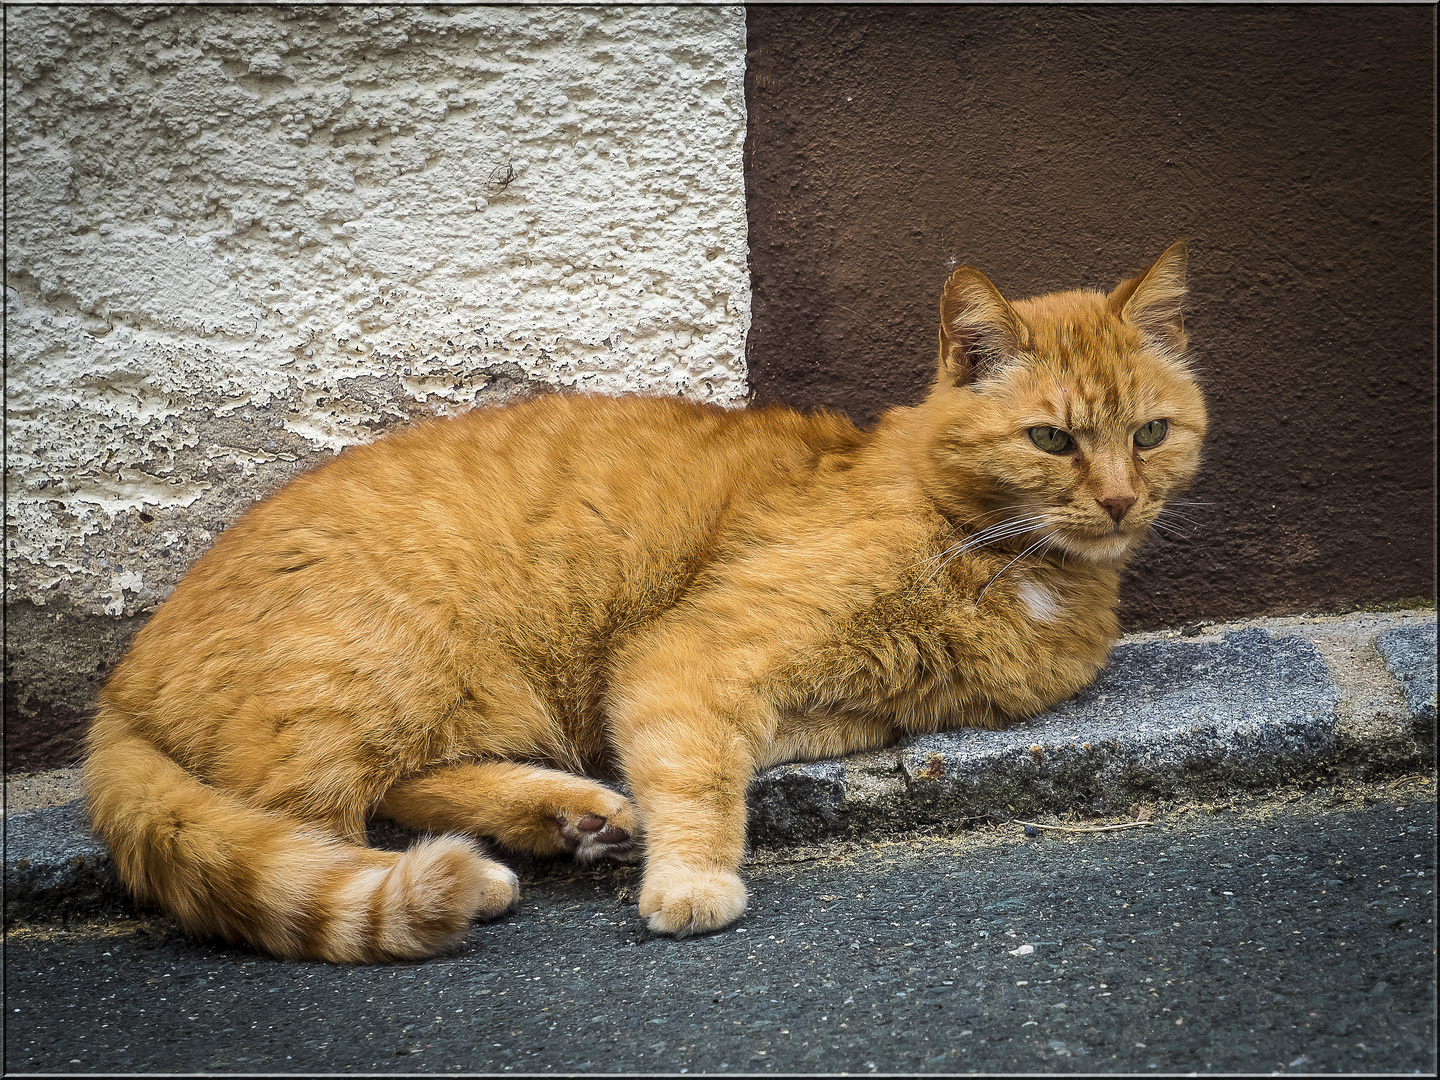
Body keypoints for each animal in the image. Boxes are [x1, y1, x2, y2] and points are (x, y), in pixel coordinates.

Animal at [81, 243, 1203, 961]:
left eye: (1149, 434)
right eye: (1052, 439)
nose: (1119, 499)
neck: (1010, 560)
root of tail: (120, 682)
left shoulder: (844, 710)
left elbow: (704, 754)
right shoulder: (691, 653)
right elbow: (698, 774)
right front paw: (691, 883)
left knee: (403, 784)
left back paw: (568, 814)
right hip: (368, 675)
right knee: (303, 828)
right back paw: (481, 873)